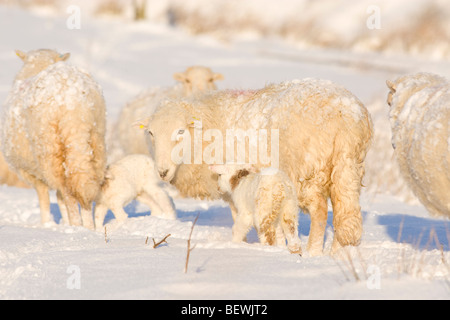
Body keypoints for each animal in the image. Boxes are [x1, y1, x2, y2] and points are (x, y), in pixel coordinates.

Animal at [0, 48, 106, 229]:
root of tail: (73, 100)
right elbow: (59, 198)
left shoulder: (33, 173)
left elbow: (44, 198)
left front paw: (46, 224)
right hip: (93, 142)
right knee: (83, 187)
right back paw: (88, 228)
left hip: (49, 150)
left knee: (68, 192)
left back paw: (76, 226)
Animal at [142, 79, 374, 255]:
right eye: (151, 133)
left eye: (180, 132)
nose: (162, 172)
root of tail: (348, 119)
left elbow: (241, 218)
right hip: (348, 168)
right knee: (347, 215)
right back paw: (340, 254)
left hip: (309, 171)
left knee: (319, 212)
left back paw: (313, 252)